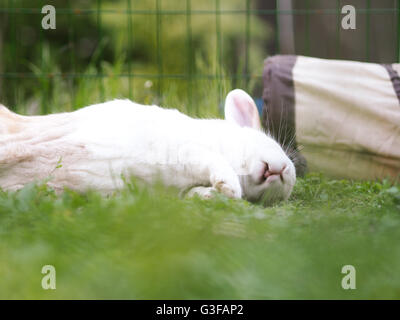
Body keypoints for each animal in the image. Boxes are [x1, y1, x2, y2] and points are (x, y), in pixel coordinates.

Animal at [0, 89, 294, 204]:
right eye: (272, 145)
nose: (284, 172)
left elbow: (195, 193)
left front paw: (216, 194)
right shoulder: (187, 149)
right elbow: (209, 160)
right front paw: (230, 186)